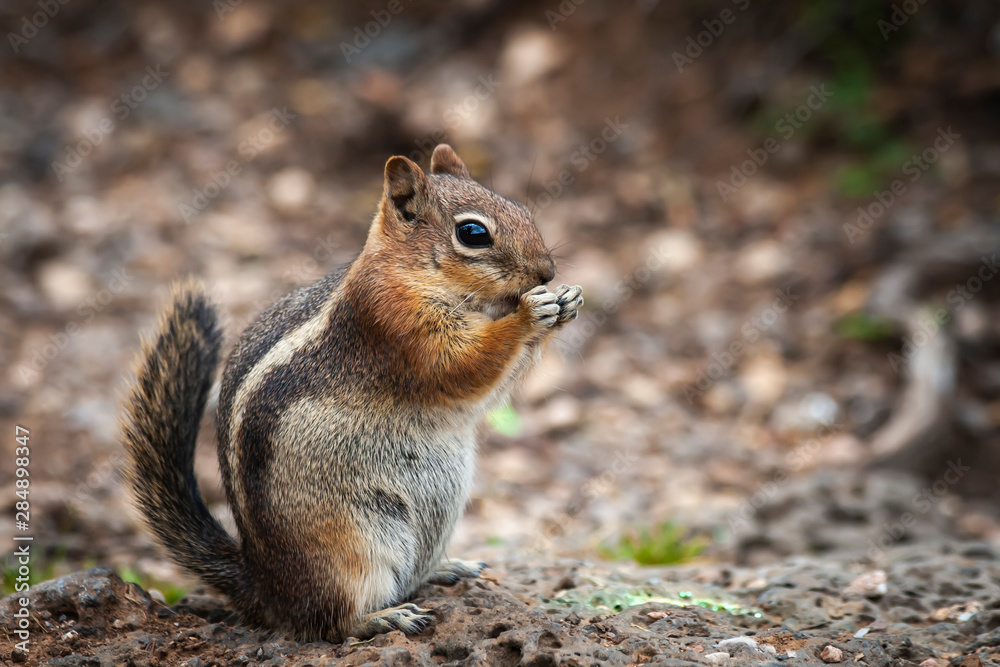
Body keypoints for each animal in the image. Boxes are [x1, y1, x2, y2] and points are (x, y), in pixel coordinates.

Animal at [121, 144, 583, 642]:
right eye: (473, 233)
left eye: (523, 210)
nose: (546, 271)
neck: (406, 269)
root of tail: (265, 587)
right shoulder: (393, 321)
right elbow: (462, 366)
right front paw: (530, 314)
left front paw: (566, 301)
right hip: (351, 547)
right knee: (330, 621)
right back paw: (383, 617)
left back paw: (446, 569)